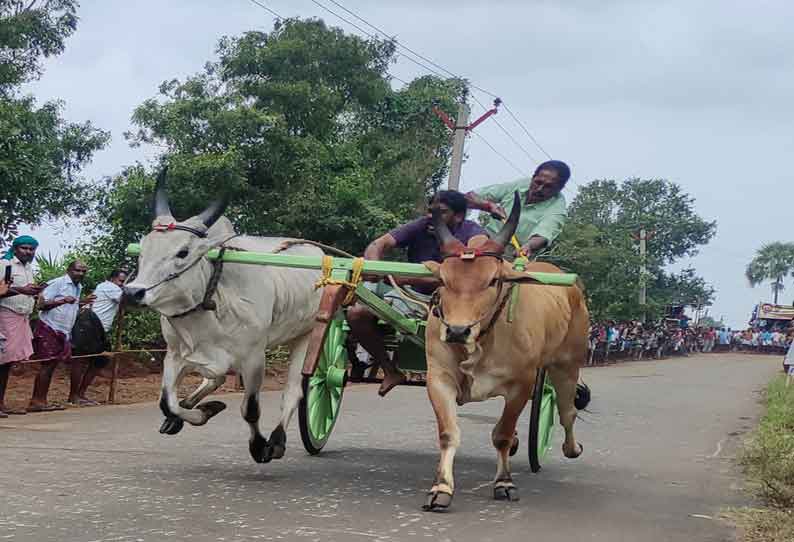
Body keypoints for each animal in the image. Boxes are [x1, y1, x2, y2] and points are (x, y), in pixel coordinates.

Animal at [122, 172, 320, 466]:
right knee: (212, 381)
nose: (132, 293)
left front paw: (259, 446)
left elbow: (250, 409)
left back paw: (277, 440)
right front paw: (203, 411)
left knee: (293, 391)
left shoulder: (254, 359)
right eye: (143, 250)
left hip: (307, 334)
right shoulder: (175, 354)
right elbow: (167, 402)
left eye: (183, 252)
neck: (213, 301)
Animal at [420, 192, 588, 516]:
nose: (457, 330)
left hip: (568, 363)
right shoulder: (439, 378)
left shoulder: (522, 384)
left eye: (493, 280)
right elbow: (449, 433)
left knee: (567, 411)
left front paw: (504, 483)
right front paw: (441, 488)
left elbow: (502, 434)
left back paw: (572, 448)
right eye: (444, 280)